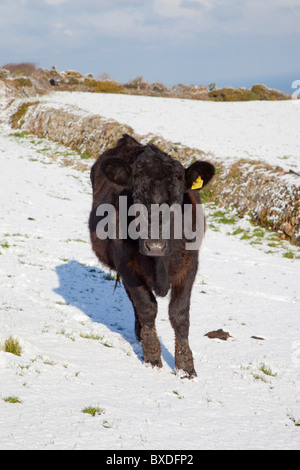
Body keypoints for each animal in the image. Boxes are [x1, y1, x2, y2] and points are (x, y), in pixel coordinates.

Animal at [88, 135, 214, 378]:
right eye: (136, 197)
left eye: (177, 198)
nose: (155, 245)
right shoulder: (126, 265)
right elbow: (146, 308)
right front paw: (153, 358)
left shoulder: (190, 264)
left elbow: (179, 314)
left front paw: (186, 367)